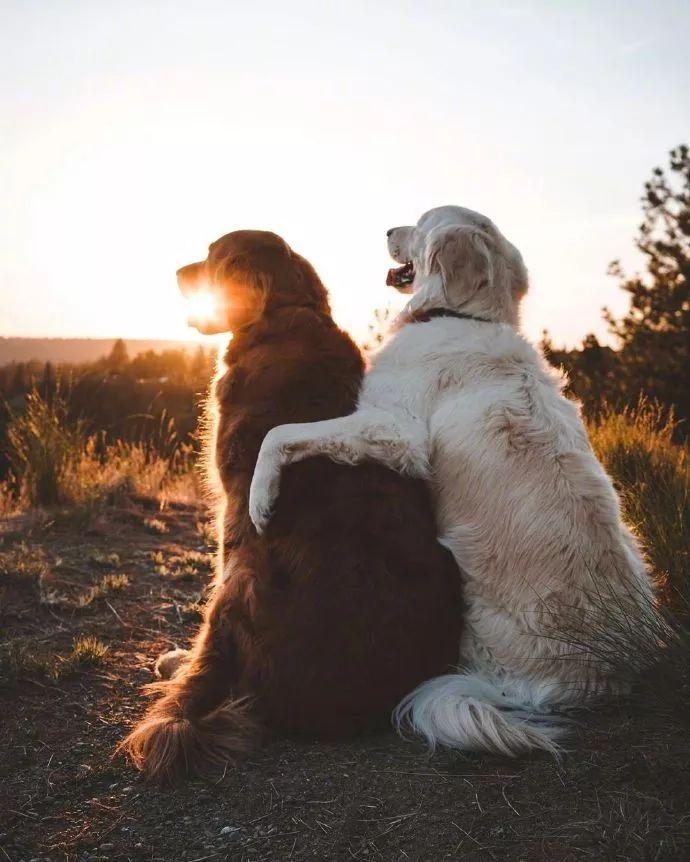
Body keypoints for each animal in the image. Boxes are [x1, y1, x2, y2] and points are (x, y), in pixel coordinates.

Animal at [120, 230, 460, 784]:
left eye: (213, 258)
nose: (177, 273)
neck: (282, 315)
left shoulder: (233, 511)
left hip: (245, 575)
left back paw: (178, 662)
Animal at [247, 208, 652, 756]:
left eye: (421, 224)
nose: (387, 229)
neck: (460, 315)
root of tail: (609, 672)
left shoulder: (398, 430)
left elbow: (281, 433)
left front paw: (260, 497)